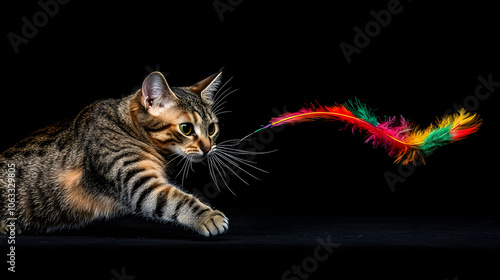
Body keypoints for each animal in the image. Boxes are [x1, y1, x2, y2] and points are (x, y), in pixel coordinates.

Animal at [0, 70, 230, 236]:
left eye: (212, 129)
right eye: (186, 129)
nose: (208, 148)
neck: (126, 126)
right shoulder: (136, 181)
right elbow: (176, 200)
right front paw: (209, 217)